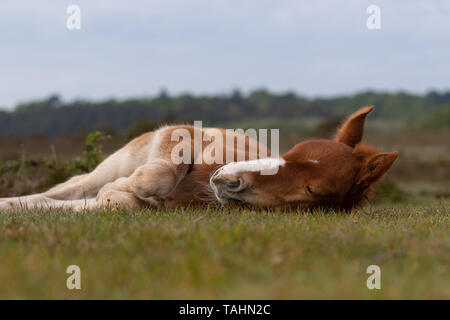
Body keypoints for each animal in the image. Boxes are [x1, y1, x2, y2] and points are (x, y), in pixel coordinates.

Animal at [0, 106, 396, 211]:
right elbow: (158, 173)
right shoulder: (183, 138)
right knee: (61, 190)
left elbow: (127, 201)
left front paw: (124, 194)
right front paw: (130, 185)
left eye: (314, 190)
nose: (228, 180)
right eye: (291, 152)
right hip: (106, 167)